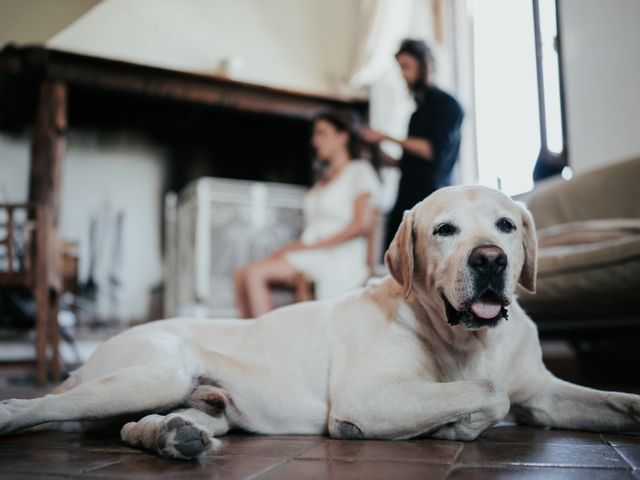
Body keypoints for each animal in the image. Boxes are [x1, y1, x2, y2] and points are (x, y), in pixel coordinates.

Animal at [1, 184, 640, 458]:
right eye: (445, 230)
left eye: (506, 225)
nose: (490, 260)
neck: (466, 339)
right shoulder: (370, 394)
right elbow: (489, 394)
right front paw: (451, 428)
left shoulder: (546, 394)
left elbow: (614, 401)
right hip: (149, 374)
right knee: (33, 407)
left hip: (198, 403)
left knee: (145, 425)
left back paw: (172, 436)